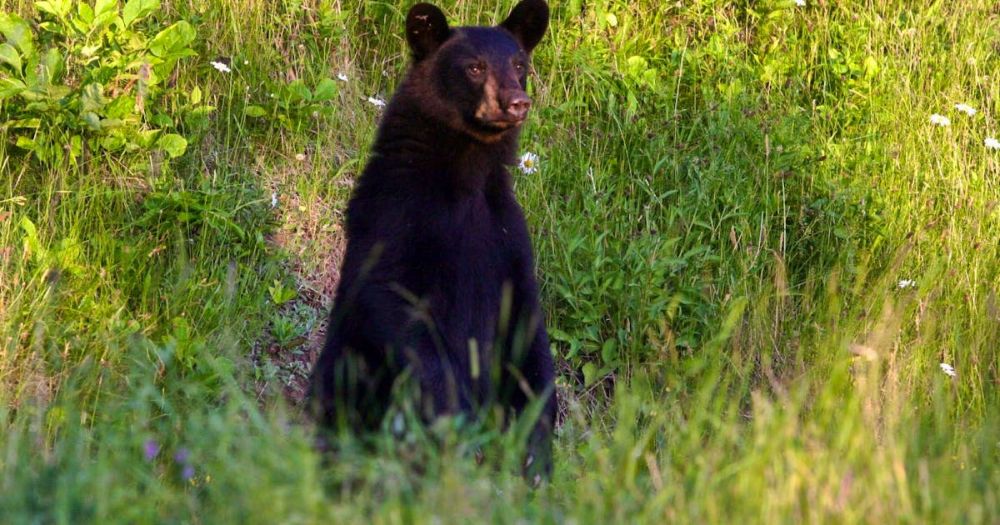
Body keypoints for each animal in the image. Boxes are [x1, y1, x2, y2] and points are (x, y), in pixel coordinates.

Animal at [306, 0, 556, 474]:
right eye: (474, 67)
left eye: (519, 64)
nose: (517, 102)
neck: (465, 176)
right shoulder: (395, 211)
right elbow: (394, 299)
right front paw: (454, 414)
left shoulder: (506, 233)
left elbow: (525, 326)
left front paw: (534, 443)